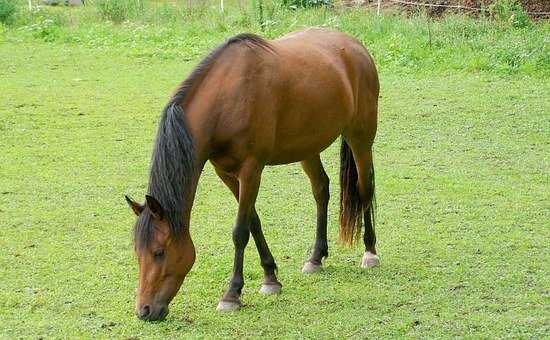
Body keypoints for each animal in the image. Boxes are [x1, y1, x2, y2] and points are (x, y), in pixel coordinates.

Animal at [127, 27, 382, 322]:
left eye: (159, 252)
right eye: (137, 252)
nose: (144, 311)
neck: (226, 98)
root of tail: (355, 45)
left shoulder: (251, 170)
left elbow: (240, 231)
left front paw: (232, 295)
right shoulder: (225, 172)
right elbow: (253, 221)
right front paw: (270, 278)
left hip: (360, 137)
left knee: (365, 187)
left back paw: (370, 252)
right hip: (308, 147)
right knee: (321, 190)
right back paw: (316, 257)